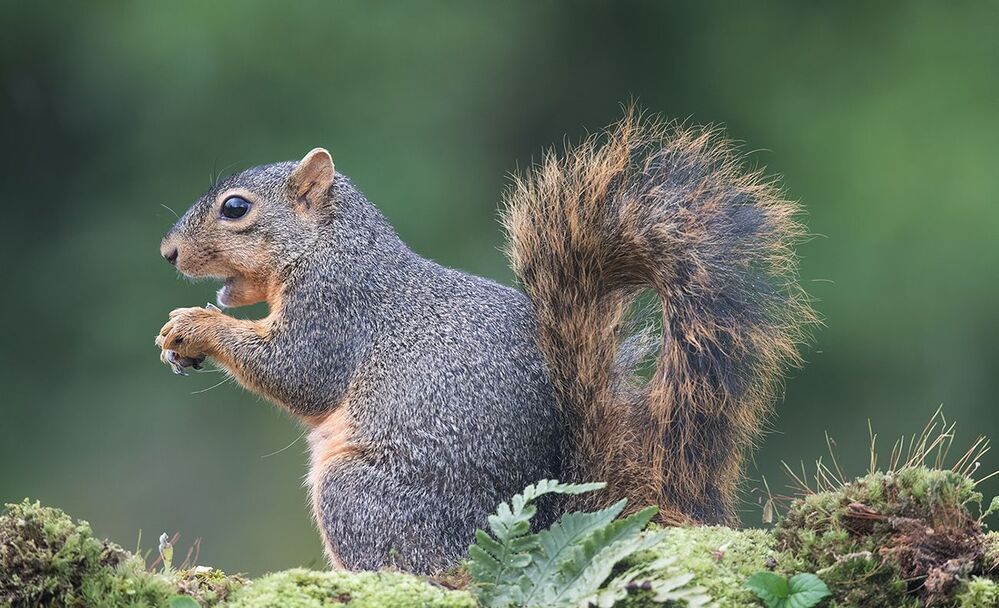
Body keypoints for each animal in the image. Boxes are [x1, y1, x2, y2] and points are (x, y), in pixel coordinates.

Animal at [156, 109, 812, 574]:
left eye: (235, 209)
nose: (167, 252)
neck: (330, 245)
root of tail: (545, 523)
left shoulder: (336, 310)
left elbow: (297, 371)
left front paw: (192, 326)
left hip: (361, 496)